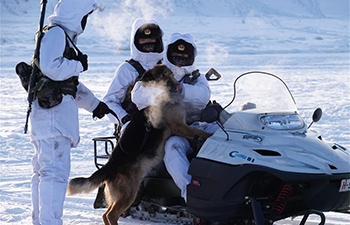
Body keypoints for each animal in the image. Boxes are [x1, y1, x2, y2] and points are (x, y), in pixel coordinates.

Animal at [67, 64, 212, 224]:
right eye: (163, 78)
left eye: (171, 75)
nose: (177, 86)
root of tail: (109, 165)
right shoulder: (179, 126)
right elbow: (201, 132)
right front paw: (213, 135)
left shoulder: (183, 125)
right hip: (128, 193)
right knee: (110, 215)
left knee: (106, 214)